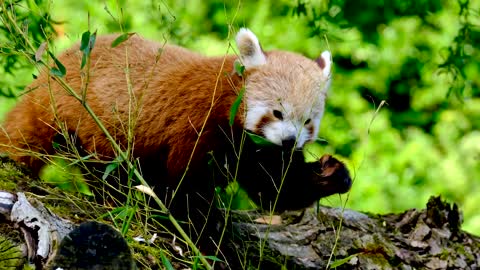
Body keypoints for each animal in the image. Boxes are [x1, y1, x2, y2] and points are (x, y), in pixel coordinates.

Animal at [0, 28, 352, 237]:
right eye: (277, 113)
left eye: (307, 121)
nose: (289, 141)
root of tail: (50, 76)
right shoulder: (199, 124)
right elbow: (186, 186)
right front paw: (207, 232)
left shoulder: (255, 150)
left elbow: (275, 188)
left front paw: (333, 173)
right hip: (89, 124)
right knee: (108, 172)